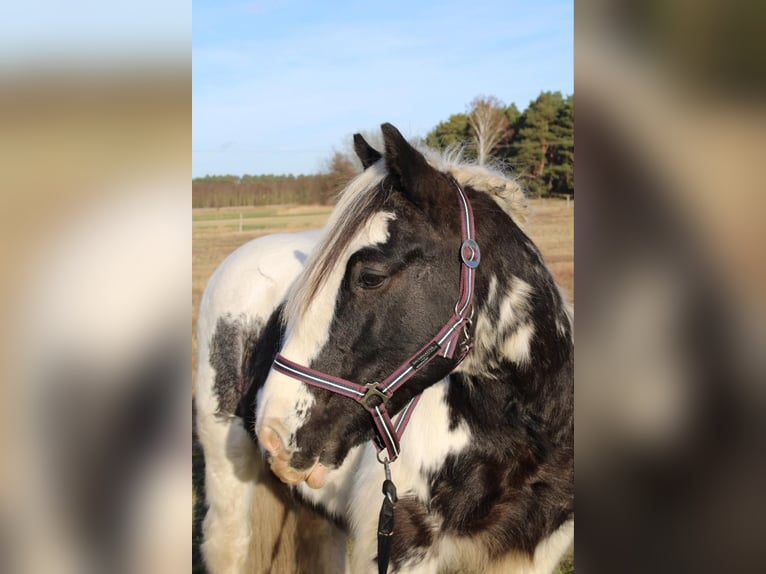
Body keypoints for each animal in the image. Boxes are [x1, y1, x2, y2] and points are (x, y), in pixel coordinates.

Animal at [195, 126, 572, 574]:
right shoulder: (402, 546)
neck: (521, 433)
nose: (273, 432)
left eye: (371, 277)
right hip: (227, 471)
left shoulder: (535, 549)